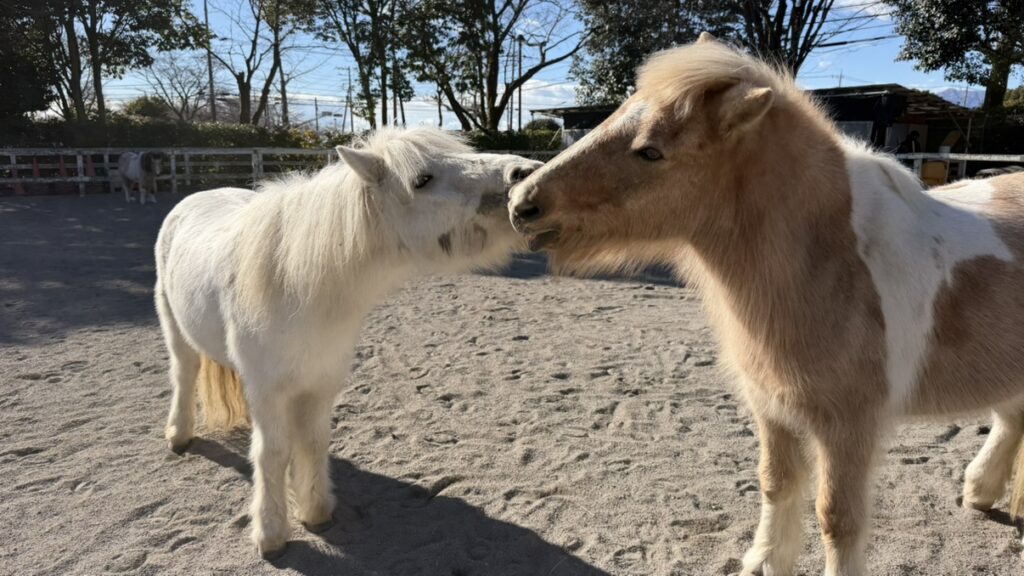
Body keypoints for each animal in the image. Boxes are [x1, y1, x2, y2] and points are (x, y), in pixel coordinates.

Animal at [155, 126, 539, 558]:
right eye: (422, 179)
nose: (526, 173)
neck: (300, 289)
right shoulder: (267, 391)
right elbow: (272, 452)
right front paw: (271, 534)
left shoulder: (321, 384)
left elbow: (312, 441)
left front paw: (314, 510)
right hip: (175, 330)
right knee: (184, 376)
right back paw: (179, 435)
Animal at [508, 34, 1024, 576]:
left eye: (650, 151)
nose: (522, 205)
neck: (831, 258)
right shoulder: (771, 407)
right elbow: (775, 483)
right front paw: (765, 559)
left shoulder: (847, 429)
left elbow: (837, 518)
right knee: (1012, 418)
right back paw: (980, 491)